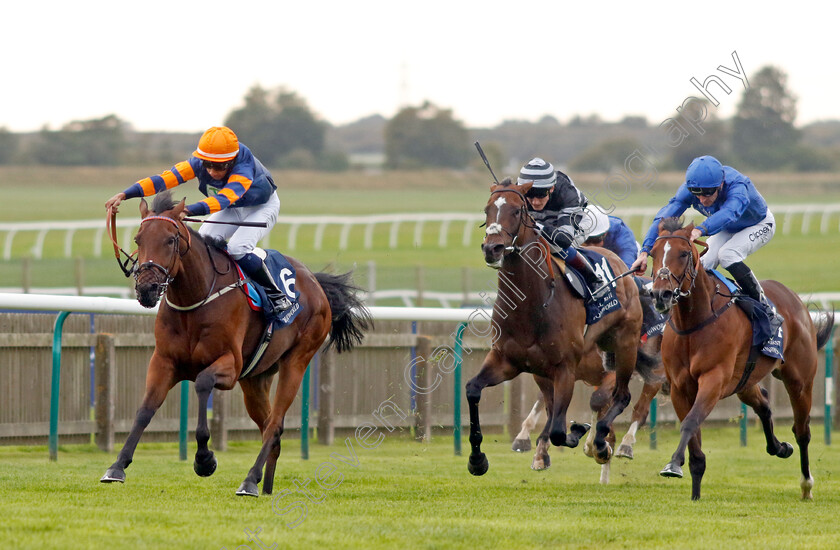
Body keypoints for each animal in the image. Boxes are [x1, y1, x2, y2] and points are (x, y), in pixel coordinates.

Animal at [101, 192, 370, 498]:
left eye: (170, 240)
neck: (195, 299)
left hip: (296, 362)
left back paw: (250, 481)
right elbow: (145, 410)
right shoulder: (164, 362)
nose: (146, 289)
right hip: (255, 379)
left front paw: (204, 459)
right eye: (138, 239)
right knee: (268, 428)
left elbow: (202, 383)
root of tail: (315, 282)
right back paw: (265, 486)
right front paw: (117, 466)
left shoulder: (229, 365)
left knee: (274, 425)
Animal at [470, 182, 648, 478]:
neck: (530, 303)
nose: (492, 248)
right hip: (545, 373)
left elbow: (559, 430)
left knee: (620, 396)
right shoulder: (505, 360)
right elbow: (473, 389)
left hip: (625, 346)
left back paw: (603, 444)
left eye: (516, 210)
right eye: (487, 209)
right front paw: (477, 459)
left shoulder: (565, 368)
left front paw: (582, 433)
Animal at [648, 218, 832, 502]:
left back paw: (806, 485)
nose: (661, 294)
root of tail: (794, 298)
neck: (694, 322)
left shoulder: (713, 380)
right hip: (744, 382)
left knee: (802, 430)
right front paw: (694, 492)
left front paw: (673, 464)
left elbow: (690, 422)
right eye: (653, 254)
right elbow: (694, 439)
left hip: (800, 381)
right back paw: (780, 447)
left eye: (684, 253)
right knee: (764, 403)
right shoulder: (680, 387)